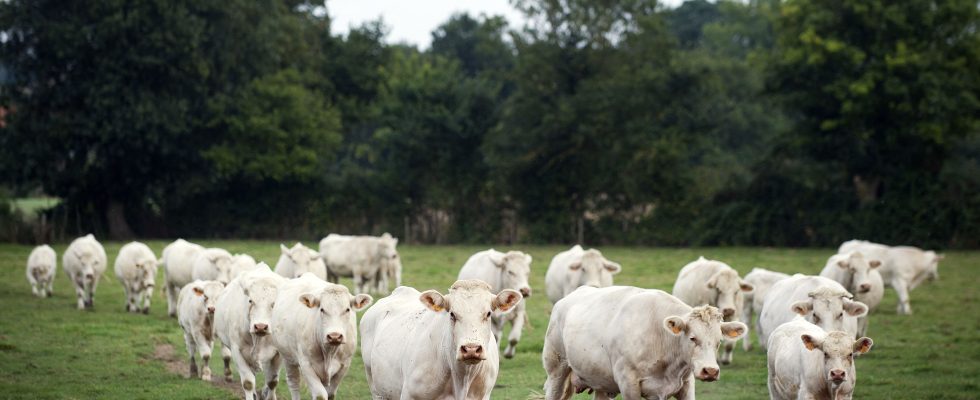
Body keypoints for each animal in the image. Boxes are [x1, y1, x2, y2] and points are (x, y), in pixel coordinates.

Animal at [214, 262, 288, 400]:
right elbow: (248, 382)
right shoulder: (237, 351)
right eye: (250, 300)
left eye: (274, 303)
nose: (260, 326)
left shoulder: (278, 354)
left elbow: (272, 382)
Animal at [544, 286, 744, 398]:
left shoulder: (685, 386)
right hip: (556, 369)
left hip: (600, 380)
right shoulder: (628, 383)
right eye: (693, 338)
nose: (710, 371)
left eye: (719, 341)